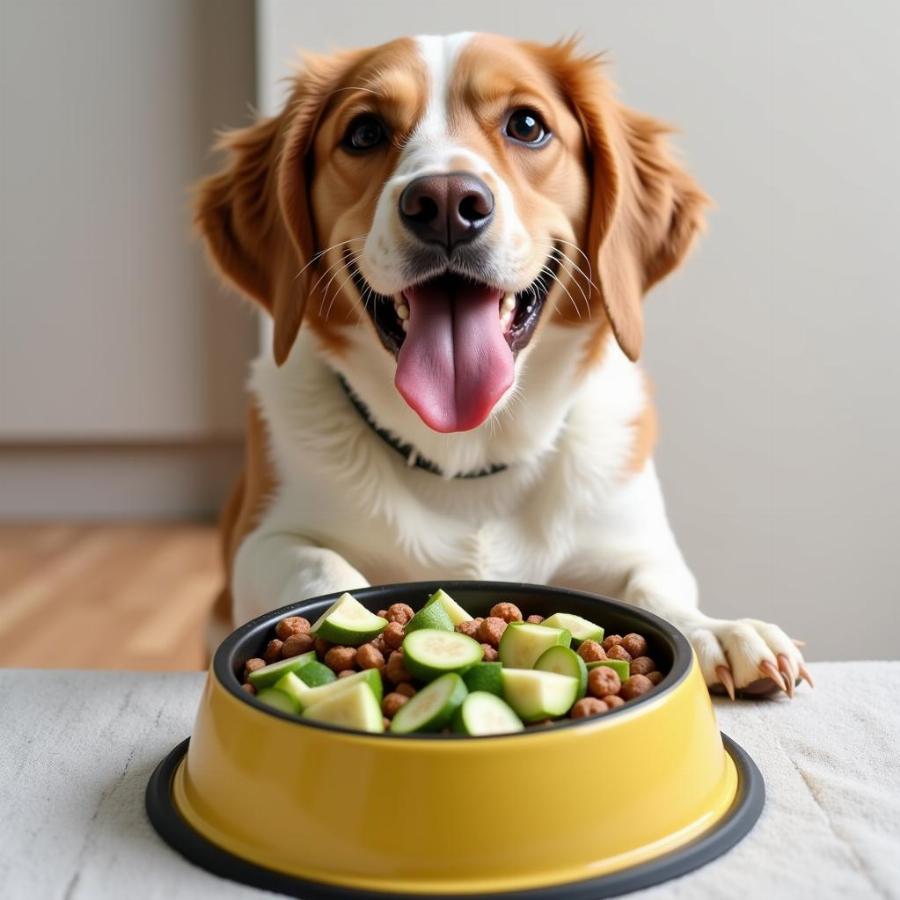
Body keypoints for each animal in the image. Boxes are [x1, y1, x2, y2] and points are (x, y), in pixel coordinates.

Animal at [197, 33, 808, 696]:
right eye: (363, 133)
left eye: (527, 125)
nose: (444, 202)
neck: (468, 459)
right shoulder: (262, 542)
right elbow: (322, 566)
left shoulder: (634, 540)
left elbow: (658, 587)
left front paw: (718, 630)